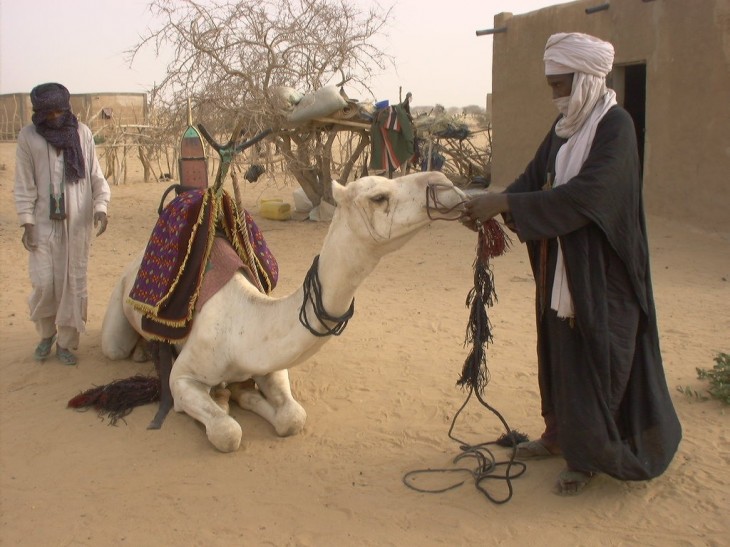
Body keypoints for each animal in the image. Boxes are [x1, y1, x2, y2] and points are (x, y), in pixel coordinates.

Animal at [99, 172, 464, 454]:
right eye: (379, 197)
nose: (446, 184)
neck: (241, 327)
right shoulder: (183, 378)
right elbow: (227, 432)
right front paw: (219, 401)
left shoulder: (270, 364)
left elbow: (292, 418)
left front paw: (240, 394)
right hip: (117, 314)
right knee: (115, 347)